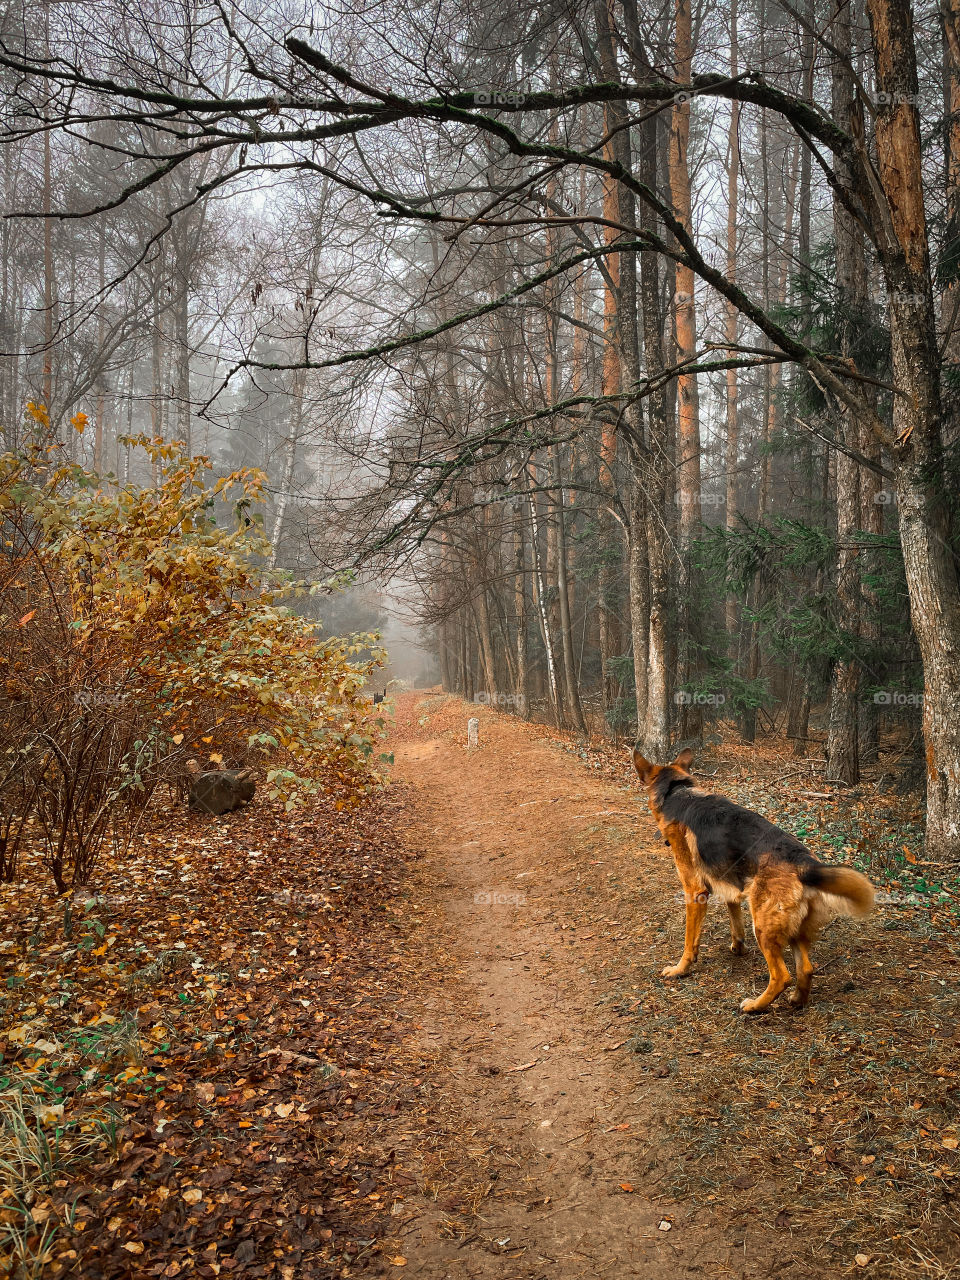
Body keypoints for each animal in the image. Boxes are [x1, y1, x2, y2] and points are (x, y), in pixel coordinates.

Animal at [634, 747, 875, 1008]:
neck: (678, 793)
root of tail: (805, 863)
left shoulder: (695, 892)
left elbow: (690, 942)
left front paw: (681, 969)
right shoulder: (730, 884)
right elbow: (734, 920)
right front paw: (738, 946)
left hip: (762, 926)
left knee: (781, 976)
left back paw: (754, 1006)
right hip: (792, 930)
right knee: (806, 969)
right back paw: (796, 1001)